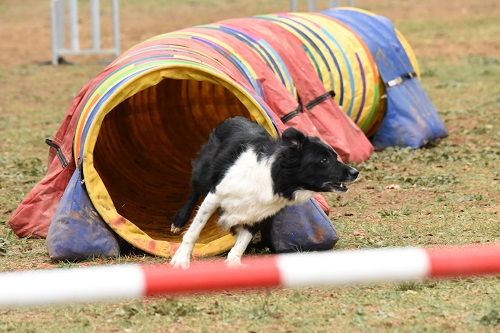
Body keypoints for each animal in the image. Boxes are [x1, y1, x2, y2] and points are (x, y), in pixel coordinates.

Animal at [170, 116, 358, 268]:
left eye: (335, 156)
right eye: (324, 160)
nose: (355, 172)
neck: (274, 178)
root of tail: (233, 118)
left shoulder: (258, 213)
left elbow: (242, 242)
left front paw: (234, 263)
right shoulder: (215, 195)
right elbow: (194, 231)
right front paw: (181, 260)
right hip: (205, 171)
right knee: (194, 191)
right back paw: (178, 222)